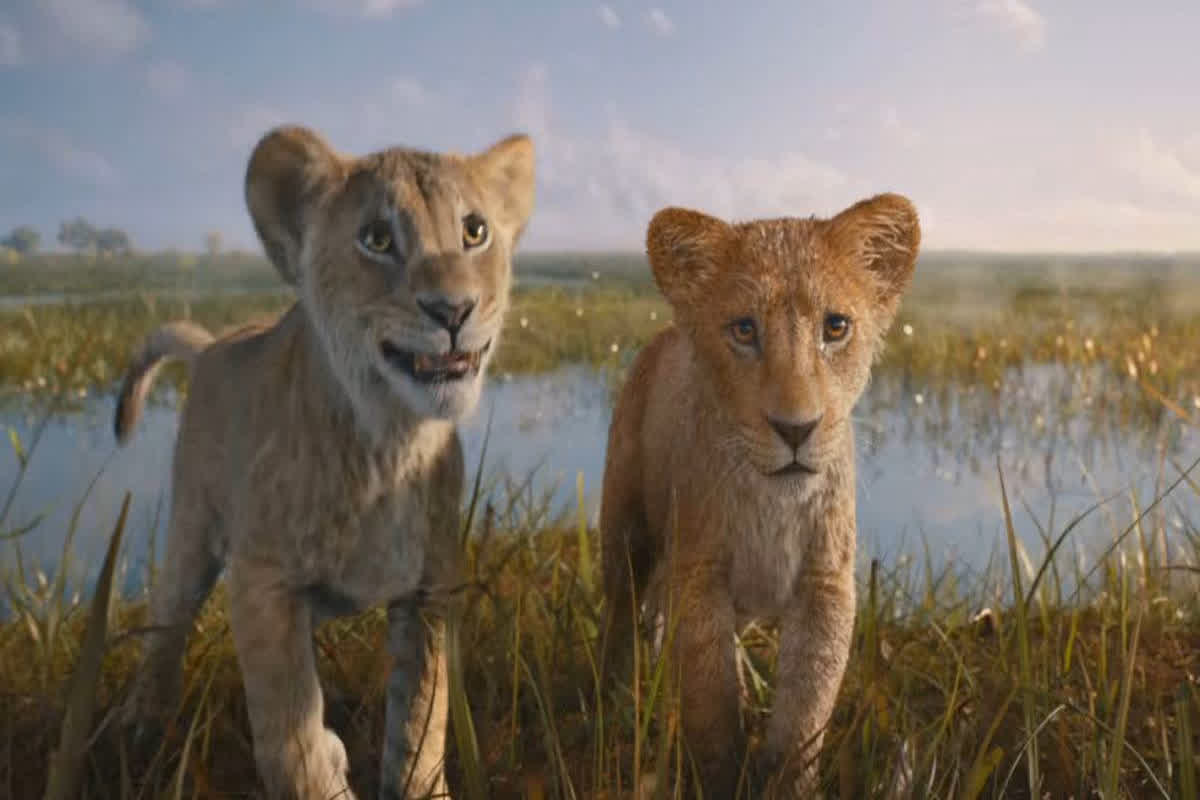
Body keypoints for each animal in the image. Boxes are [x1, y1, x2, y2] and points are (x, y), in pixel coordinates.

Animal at [114, 124, 535, 799]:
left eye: (474, 231)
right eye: (378, 238)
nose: (454, 311)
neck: (387, 442)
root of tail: (215, 345)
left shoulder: (430, 587)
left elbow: (422, 716)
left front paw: (417, 782)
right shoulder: (262, 584)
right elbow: (290, 736)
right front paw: (322, 770)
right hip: (191, 534)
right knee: (166, 624)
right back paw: (140, 730)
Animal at [598, 193, 920, 797]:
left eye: (835, 327)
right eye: (744, 330)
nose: (796, 428)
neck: (774, 504)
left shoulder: (825, 585)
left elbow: (804, 713)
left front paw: (787, 780)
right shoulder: (698, 575)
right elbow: (710, 707)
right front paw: (724, 775)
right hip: (626, 530)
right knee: (622, 612)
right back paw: (615, 697)